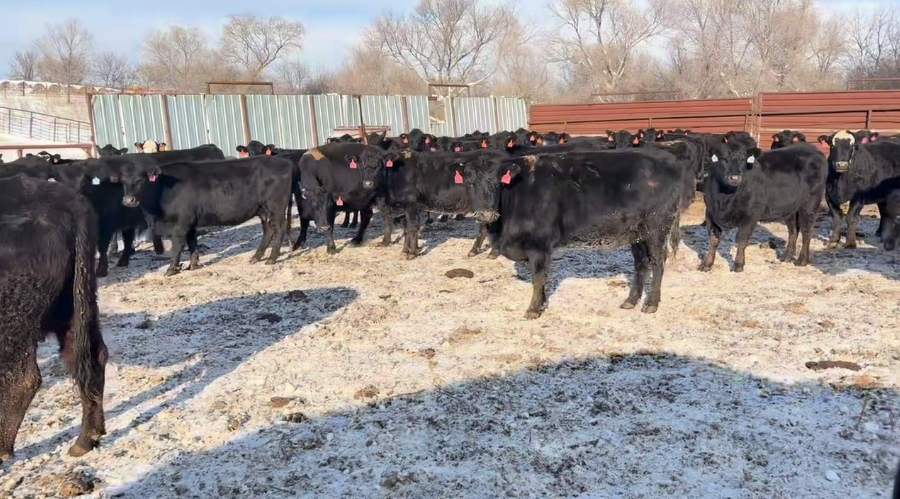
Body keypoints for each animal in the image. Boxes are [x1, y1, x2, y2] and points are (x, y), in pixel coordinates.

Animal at [115, 155, 294, 276]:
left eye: (140, 180)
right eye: (123, 182)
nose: (128, 200)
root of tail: (283, 161)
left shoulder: (180, 224)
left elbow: (177, 247)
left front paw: (172, 269)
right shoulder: (191, 223)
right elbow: (192, 243)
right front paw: (193, 265)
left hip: (276, 206)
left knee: (279, 228)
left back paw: (272, 258)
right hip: (263, 209)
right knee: (268, 231)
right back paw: (256, 257)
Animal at [463, 149, 684, 319]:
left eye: (497, 183)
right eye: (470, 183)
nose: (486, 214)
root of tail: (668, 158)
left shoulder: (539, 245)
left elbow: (538, 277)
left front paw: (533, 310)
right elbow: (543, 278)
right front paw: (542, 304)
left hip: (657, 227)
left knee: (658, 262)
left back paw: (651, 304)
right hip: (636, 233)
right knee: (641, 264)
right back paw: (630, 300)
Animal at [699, 142, 827, 272]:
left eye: (743, 159)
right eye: (723, 158)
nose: (735, 178)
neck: (724, 200)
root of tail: (812, 148)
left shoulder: (750, 215)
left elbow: (741, 239)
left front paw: (738, 265)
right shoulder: (710, 213)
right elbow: (714, 240)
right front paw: (707, 264)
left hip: (810, 202)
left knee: (807, 230)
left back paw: (802, 260)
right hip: (790, 207)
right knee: (793, 230)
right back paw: (786, 257)